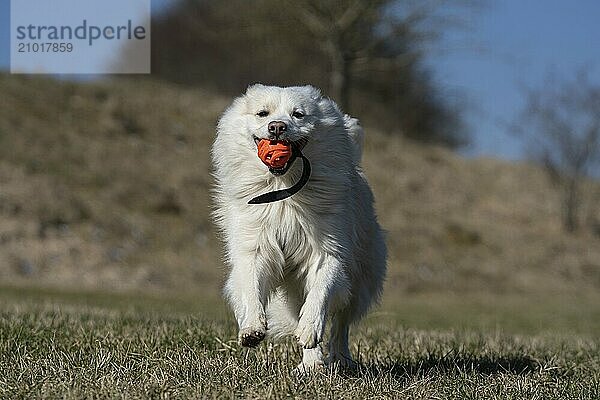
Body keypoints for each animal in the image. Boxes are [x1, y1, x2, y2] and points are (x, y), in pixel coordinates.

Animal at [213, 84, 386, 372]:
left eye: (298, 114)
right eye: (263, 113)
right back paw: (311, 365)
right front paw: (252, 328)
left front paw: (310, 328)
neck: (283, 189)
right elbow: (251, 287)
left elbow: (320, 293)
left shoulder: (328, 251)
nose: (277, 127)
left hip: (359, 279)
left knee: (340, 326)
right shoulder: (254, 248)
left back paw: (337, 360)